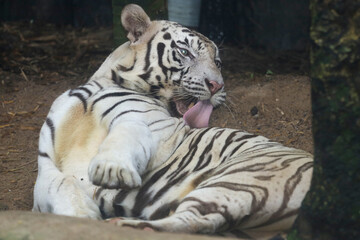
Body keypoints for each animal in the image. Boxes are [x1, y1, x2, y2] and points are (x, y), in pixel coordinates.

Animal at [32, 4, 312, 240]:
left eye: (217, 62)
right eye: (185, 52)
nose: (217, 85)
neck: (103, 82)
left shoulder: (154, 129)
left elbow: (126, 133)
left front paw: (111, 169)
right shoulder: (45, 164)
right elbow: (60, 184)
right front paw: (80, 214)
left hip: (239, 180)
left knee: (195, 220)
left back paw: (125, 224)